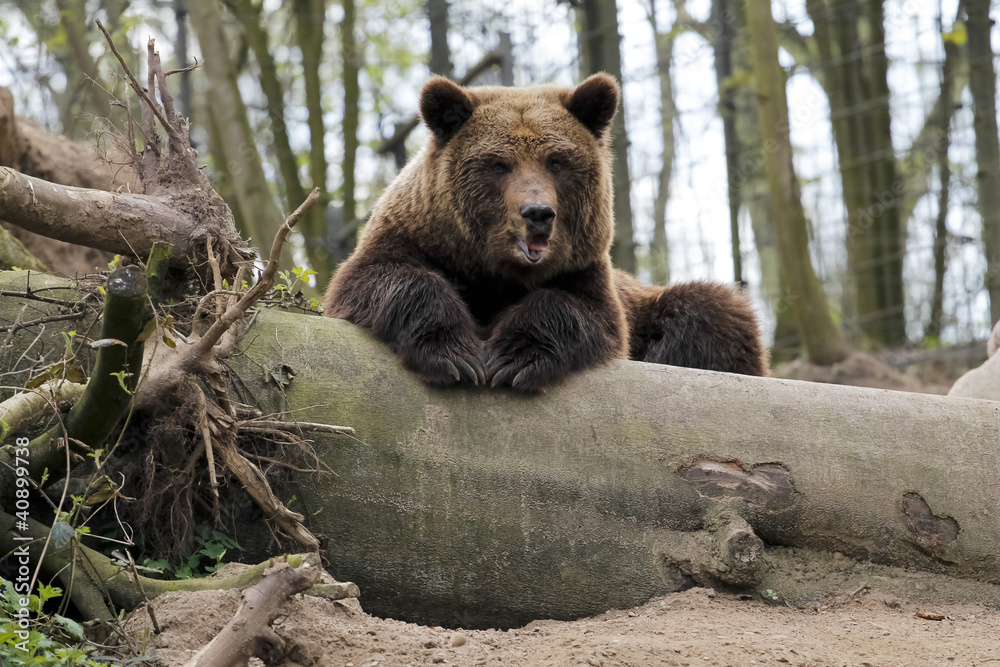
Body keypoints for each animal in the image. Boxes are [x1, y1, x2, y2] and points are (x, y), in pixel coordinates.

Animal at [324, 73, 768, 391]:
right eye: (498, 164)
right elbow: (382, 279)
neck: (496, 271)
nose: (538, 213)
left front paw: (513, 357)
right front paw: (455, 354)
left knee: (709, 309)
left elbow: (580, 312)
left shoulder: (585, 271)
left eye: (556, 161)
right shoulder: (414, 238)